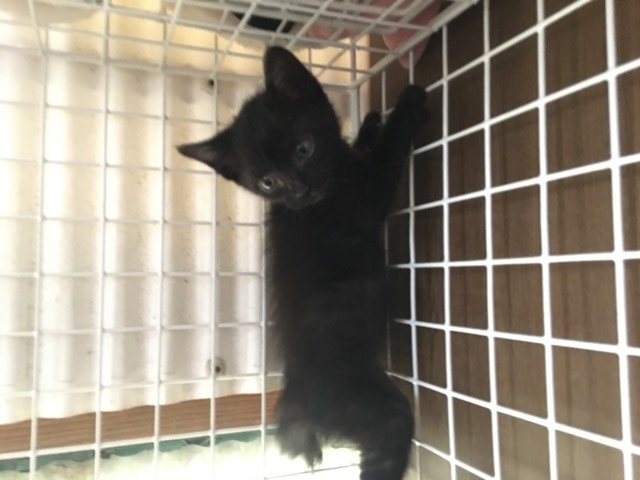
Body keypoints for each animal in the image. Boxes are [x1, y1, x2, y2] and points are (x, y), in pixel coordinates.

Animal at [178, 46, 428, 480]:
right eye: (267, 182)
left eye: (303, 149)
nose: (298, 189)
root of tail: (297, 401)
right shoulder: (363, 198)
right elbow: (386, 158)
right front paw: (406, 106)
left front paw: (368, 126)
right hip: (369, 405)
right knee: (387, 439)